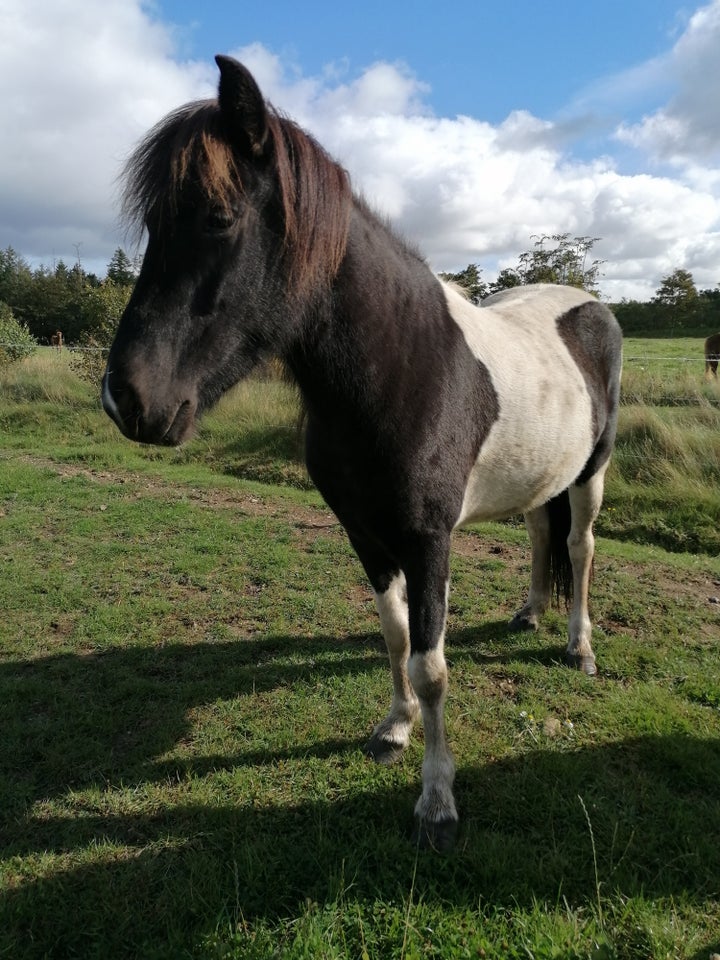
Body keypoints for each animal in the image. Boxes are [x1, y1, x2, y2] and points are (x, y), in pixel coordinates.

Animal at [102, 56, 624, 852]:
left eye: (219, 217)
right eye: (154, 224)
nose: (125, 398)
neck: (404, 366)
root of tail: (590, 305)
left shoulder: (429, 539)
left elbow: (432, 664)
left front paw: (437, 803)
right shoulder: (364, 532)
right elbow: (394, 633)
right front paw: (395, 728)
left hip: (592, 472)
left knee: (581, 546)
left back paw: (579, 647)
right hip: (542, 476)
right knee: (542, 531)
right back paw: (530, 613)